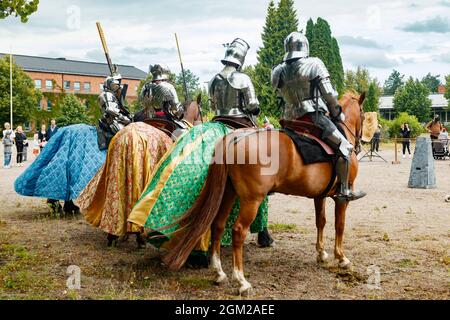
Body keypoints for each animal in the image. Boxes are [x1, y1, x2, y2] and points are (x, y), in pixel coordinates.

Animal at [163, 91, 366, 294]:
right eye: (364, 115)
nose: (360, 144)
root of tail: (233, 138)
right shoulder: (341, 199)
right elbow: (340, 225)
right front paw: (341, 257)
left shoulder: (319, 196)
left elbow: (321, 222)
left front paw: (321, 253)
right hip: (251, 201)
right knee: (238, 231)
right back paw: (241, 280)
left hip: (229, 193)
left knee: (218, 225)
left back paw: (219, 272)